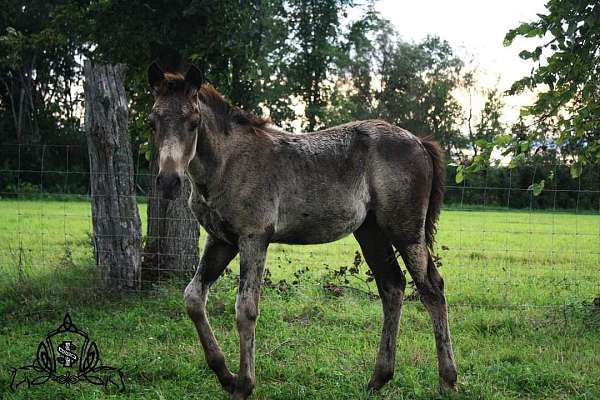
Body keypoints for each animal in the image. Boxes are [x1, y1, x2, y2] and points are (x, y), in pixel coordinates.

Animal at [148, 61, 458, 398]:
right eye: (153, 122)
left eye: (193, 122)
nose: (168, 182)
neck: (228, 163)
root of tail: (419, 142)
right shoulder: (221, 240)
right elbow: (193, 298)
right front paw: (225, 375)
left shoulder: (254, 237)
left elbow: (246, 308)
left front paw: (244, 384)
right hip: (371, 232)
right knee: (392, 287)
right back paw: (379, 378)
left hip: (406, 230)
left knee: (432, 288)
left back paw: (447, 379)